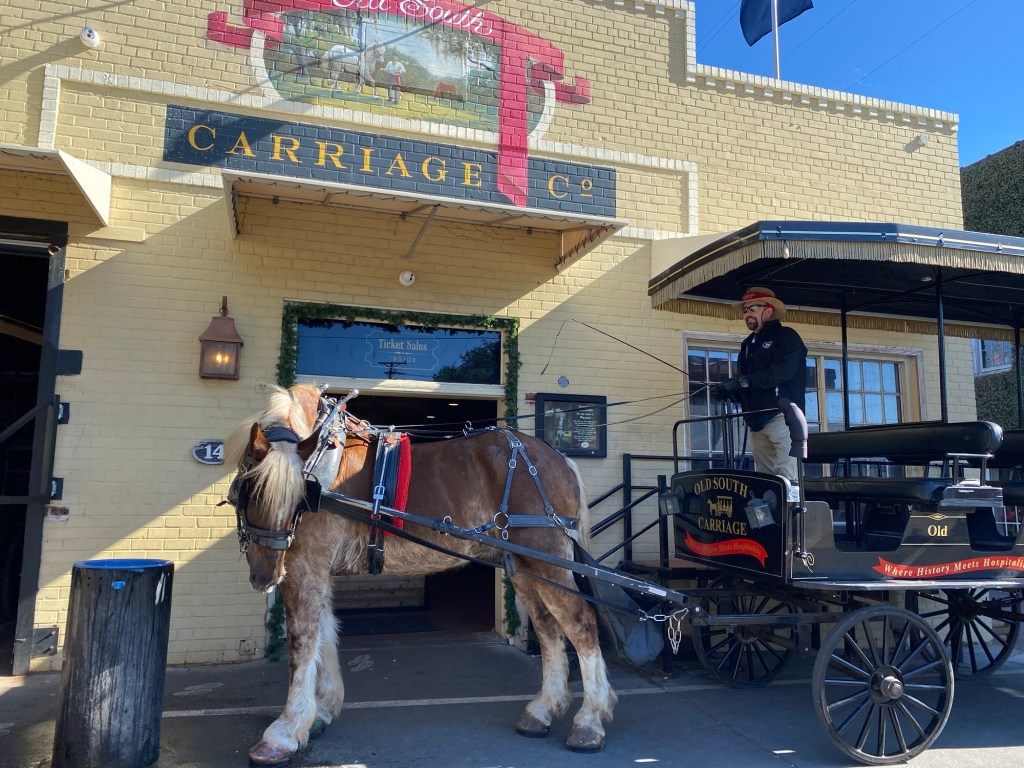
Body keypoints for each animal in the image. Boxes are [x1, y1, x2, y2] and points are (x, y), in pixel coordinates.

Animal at [224, 384, 616, 766]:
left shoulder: (305, 566)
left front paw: (285, 732)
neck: (319, 465)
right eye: (247, 492)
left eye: (279, 496)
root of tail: (558, 457)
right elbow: (324, 633)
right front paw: (321, 711)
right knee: (549, 628)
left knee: (581, 624)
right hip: (524, 565)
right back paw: (544, 709)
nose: (265, 575)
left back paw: (590, 721)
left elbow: (302, 643)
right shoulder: (316, 570)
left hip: (547, 559)